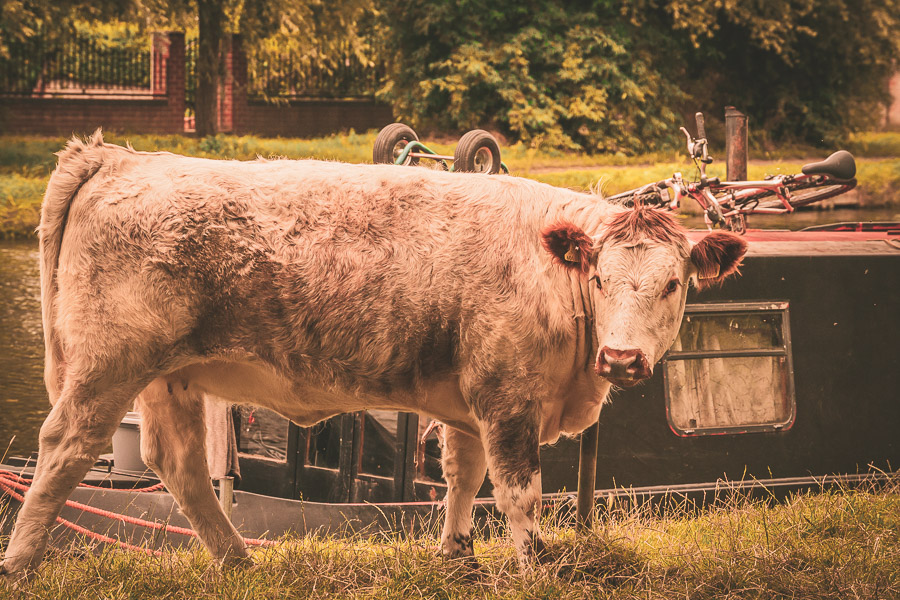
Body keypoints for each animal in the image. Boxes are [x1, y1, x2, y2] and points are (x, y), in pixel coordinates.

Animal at [0, 131, 746, 581]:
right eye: (601, 278)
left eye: (673, 284)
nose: (621, 359)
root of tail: (121, 156)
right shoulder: (507, 400)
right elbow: (519, 490)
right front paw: (537, 569)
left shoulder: (468, 402)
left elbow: (462, 476)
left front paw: (458, 557)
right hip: (109, 362)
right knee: (65, 447)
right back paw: (22, 562)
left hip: (172, 375)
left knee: (178, 465)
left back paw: (239, 561)